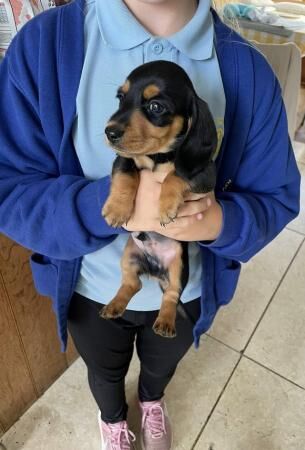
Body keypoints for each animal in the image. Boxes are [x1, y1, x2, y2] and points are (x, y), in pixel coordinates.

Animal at [99, 60, 216, 338]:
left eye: (155, 106)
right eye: (121, 98)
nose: (109, 132)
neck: (157, 156)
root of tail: (155, 271)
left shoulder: (205, 175)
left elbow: (177, 174)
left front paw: (165, 206)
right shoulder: (123, 158)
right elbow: (126, 172)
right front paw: (117, 209)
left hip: (178, 266)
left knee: (171, 296)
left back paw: (165, 322)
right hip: (129, 256)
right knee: (132, 284)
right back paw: (114, 305)